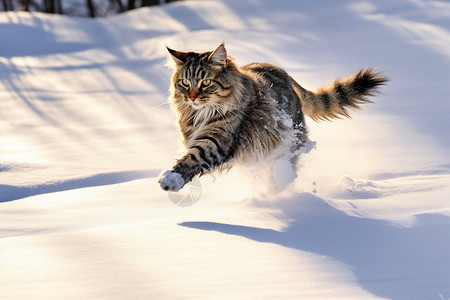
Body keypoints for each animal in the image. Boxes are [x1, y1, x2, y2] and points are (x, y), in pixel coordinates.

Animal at [158, 43, 386, 191]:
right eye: (185, 83)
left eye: (205, 82)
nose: (192, 96)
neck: (199, 114)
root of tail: (282, 71)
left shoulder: (218, 140)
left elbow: (194, 158)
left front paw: (171, 178)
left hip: (290, 138)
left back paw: (280, 181)